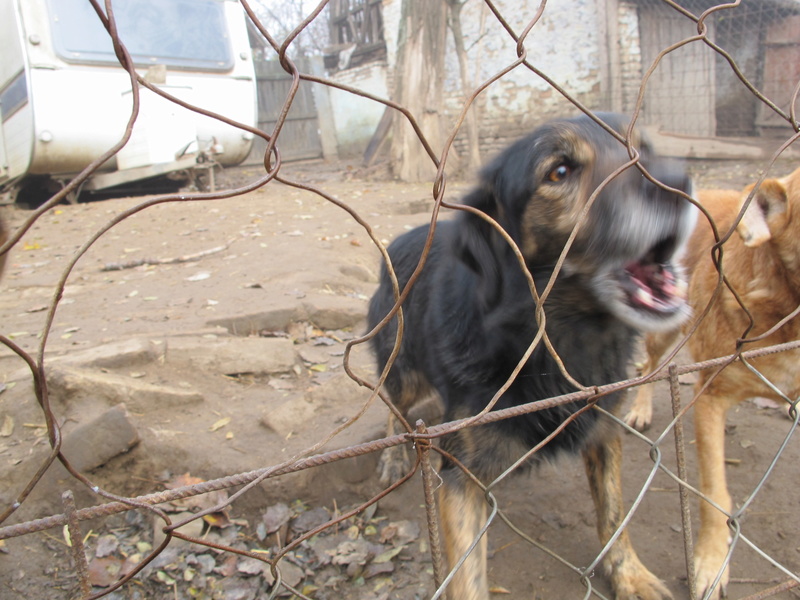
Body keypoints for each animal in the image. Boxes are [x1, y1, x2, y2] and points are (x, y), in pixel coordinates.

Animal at [368, 113, 692, 600]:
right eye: (558, 172)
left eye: (645, 151)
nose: (678, 181)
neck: (555, 339)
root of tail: (401, 240)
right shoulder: (461, 477)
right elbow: (467, 578)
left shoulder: (602, 431)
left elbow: (614, 516)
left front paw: (629, 574)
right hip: (404, 372)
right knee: (394, 407)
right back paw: (391, 458)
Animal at [624, 168, 800, 600]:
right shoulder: (710, 399)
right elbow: (713, 494)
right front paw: (710, 561)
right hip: (663, 328)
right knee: (648, 366)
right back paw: (640, 409)